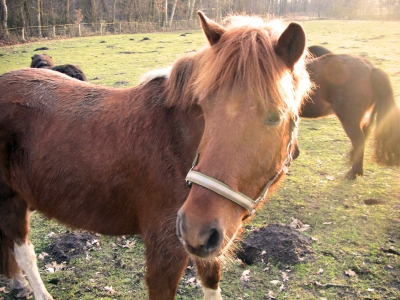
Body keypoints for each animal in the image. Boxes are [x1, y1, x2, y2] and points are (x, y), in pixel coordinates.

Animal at [0, 11, 310, 300]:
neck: (177, 143)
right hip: (10, 200)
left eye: (275, 116)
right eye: (204, 108)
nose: (195, 228)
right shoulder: (165, 251)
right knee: (23, 252)